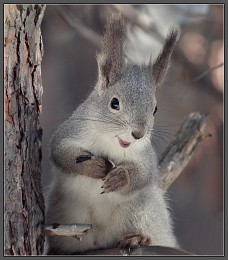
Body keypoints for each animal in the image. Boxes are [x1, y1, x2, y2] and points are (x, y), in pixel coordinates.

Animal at [44, 13, 180, 255]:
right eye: (114, 103)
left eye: (155, 109)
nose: (138, 134)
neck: (111, 142)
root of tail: (100, 242)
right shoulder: (70, 131)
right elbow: (59, 152)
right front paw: (93, 167)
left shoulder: (145, 156)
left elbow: (144, 174)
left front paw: (120, 177)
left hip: (144, 211)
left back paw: (138, 238)